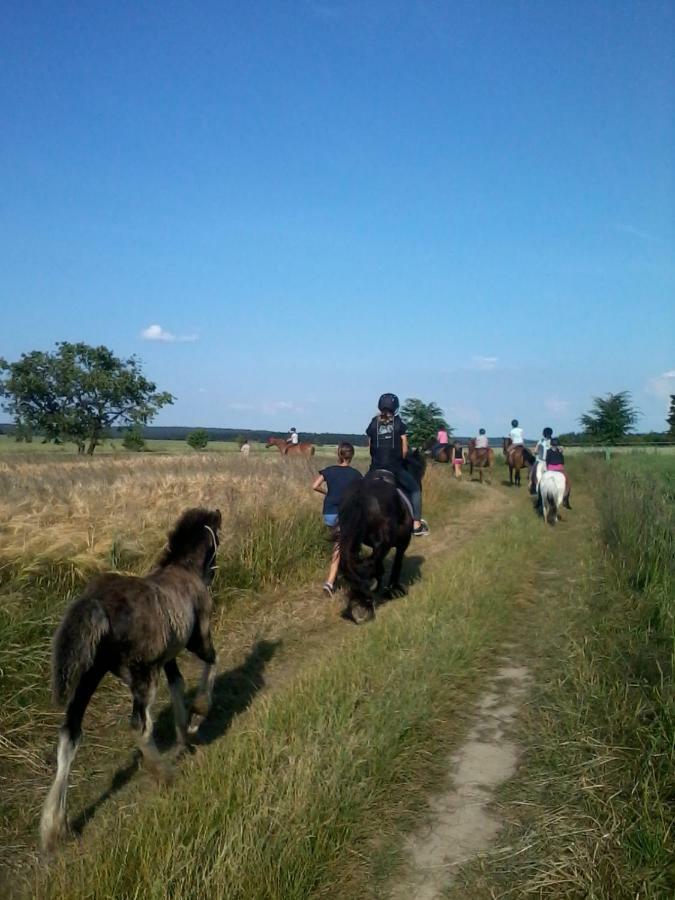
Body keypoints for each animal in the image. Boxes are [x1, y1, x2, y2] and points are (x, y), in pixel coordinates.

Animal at [41, 506, 222, 852]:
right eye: (218, 535)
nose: (213, 572)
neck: (185, 571)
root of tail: (96, 604)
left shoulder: (168, 657)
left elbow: (178, 685)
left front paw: (185, 732)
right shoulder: (198, 636)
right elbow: (211, 661)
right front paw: (201, 711)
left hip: (89, 677)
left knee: (69, 734)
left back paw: (55, 826)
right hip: (141, 675)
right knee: (138, 724)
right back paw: (163, 774)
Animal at [340, 454, 426, 624]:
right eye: (419, 467)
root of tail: (362, 495)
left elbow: (379, 566)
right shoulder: (402, 543)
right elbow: (397, 564)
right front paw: (392, 590)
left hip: (351, 540)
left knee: (354, 564)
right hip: (383, 543)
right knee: (368, 565)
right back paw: (363, 603)